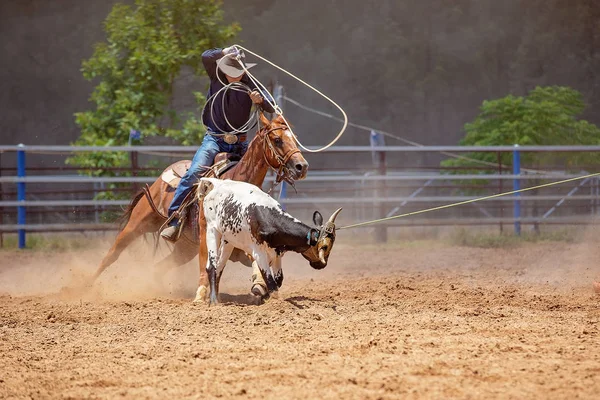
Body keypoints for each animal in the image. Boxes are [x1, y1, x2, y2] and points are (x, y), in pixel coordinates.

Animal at [94, 112, 312, 300]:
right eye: (277, 139)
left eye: (294, 138)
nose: (302, 167)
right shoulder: (208, 234)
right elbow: (207, 263)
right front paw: (201, 294)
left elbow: (256, 260)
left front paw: (260, 286)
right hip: (137, 224)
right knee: (112, 254)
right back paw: (89, 284)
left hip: (183, 249)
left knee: (159, 267)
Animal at [198, 177, 342, 304]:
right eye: (325, 248)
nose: (322, 265)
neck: (267, 217)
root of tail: (217, 183)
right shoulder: (259, 254)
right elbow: (271, 281)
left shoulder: (277, 254)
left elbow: (278, 279)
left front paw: (262, 296)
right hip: (211, 231)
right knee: (211, 266)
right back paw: (214, 300)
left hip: (228, 241)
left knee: (220, 267)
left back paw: (216, 296)